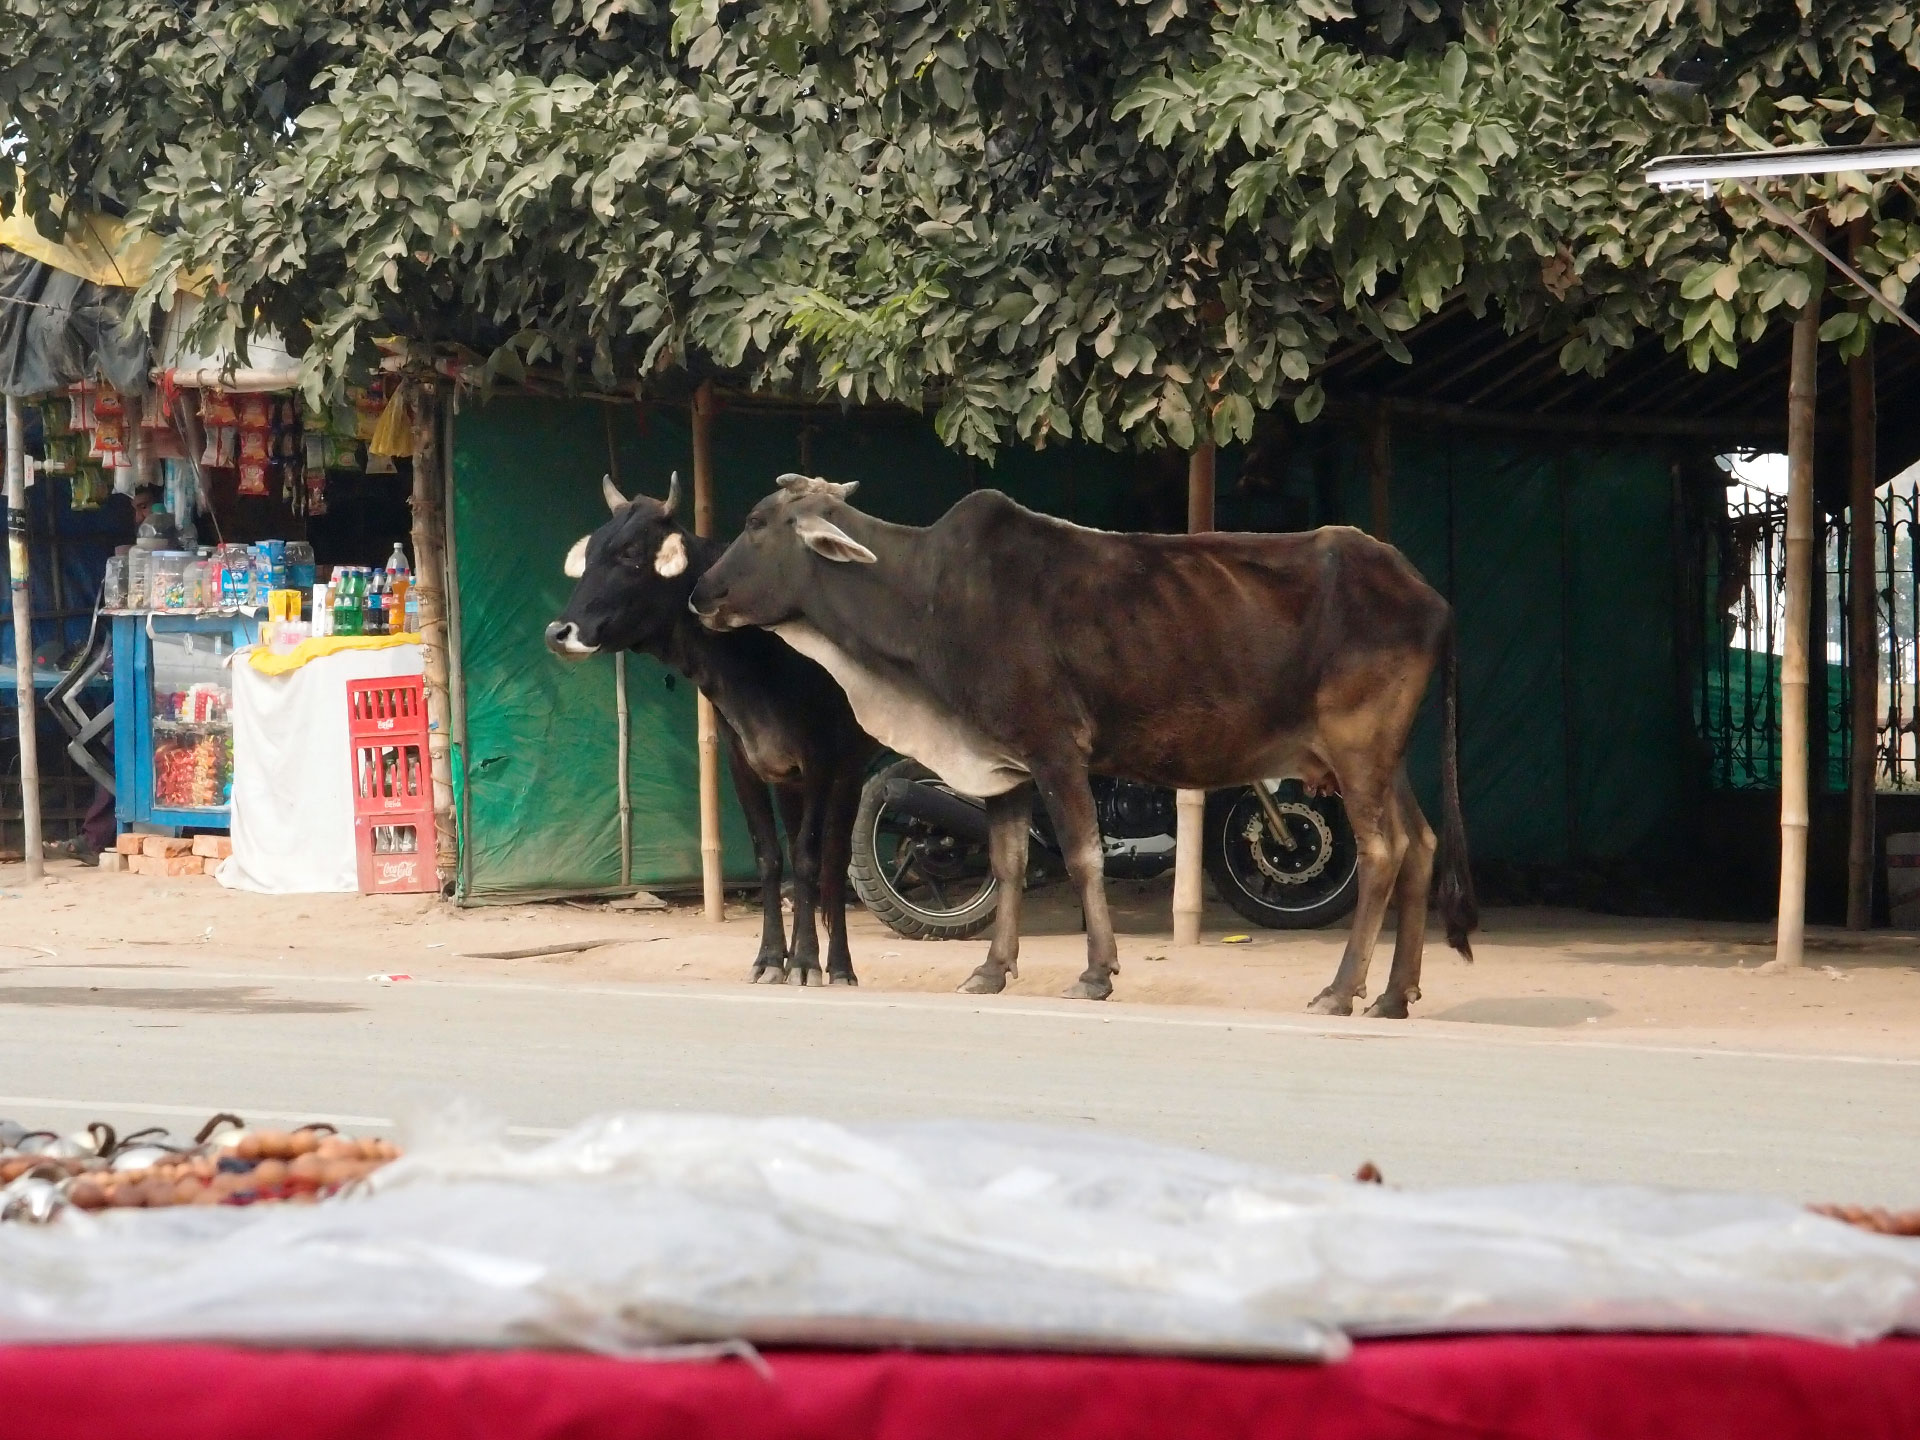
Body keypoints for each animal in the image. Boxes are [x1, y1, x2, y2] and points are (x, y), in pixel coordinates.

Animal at [549, 480, 879, 990]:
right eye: (590, 554)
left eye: (630, 553)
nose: (558, 632)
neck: (757, 652)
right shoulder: (743, 757)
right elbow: (769, 856)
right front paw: (771, 958)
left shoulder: (821, 757)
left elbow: (809, 857)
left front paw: (805, 962)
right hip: (792, 782)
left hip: (850, 767)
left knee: (831, 859)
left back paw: (840, 966)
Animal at [695, 480, 1482, 1021]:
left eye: (756, 524)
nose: (701, 594)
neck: (928, 597)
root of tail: (1430, 596)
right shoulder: (1004, 764)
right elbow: (1009, 863)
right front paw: (991, 970)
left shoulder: (1053, 751)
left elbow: (1081, 857)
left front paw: (1097, 972)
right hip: (1380, 758)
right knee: (1421, 843)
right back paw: (1394, 994)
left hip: (1357, 749)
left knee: (1382, 852)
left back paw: (1341, 990)